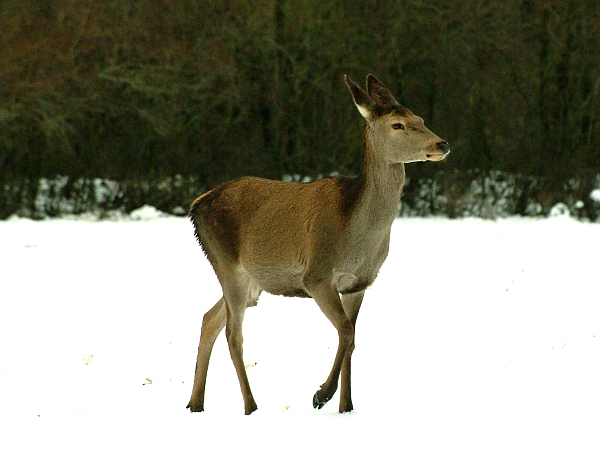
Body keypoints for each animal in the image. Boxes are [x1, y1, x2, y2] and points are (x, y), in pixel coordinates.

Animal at [185, 73, 448, 416]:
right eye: (397, 124)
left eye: (420, 119)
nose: (441, 144)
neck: (356, 235)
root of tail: (195, 206)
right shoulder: (317, 276)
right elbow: (346, 332)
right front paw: (322, 395)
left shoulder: (358, 283)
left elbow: (352, 338)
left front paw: (347, 405)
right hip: (226, 262)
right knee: (233, 333)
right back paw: (251, 406)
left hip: (253, 280)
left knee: (210, 319)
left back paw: (195, 402)